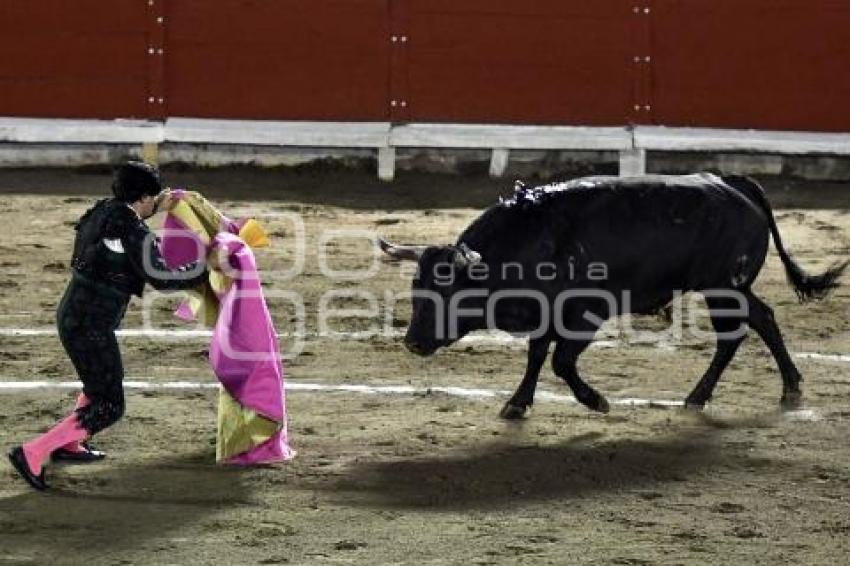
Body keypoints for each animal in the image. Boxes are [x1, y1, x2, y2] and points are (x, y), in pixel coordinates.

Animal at [380, 175, 844, 420]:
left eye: (449, 291)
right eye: (416, 290)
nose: (413, 342)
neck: (533, 239)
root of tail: (733, 183)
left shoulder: (584, 314)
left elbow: (560, 361)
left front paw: (596, 401)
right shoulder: (545, 312)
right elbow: (537, 355)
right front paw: (517, 403)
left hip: (724, 287)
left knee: (743, 328)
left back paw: (723, 394)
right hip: (730, 289)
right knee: (757, 321)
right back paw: (760, 389)